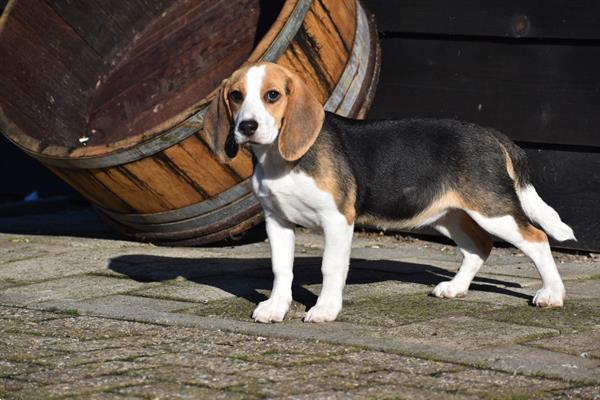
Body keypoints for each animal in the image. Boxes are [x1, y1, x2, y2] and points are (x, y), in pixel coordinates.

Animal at [203, 62, 576, 324]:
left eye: (273, 95)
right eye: (236, 96)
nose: (247, 127)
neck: (280, 160)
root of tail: (492, 135)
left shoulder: (337, 220)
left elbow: (330, 267)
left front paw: (325, 309)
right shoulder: (277, 222)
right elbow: (281, 269)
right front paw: (276, 308)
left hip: (493, 210)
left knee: (536, 238)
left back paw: (552, 294)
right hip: (448, 215)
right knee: (479, 247)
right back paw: (456, 288)